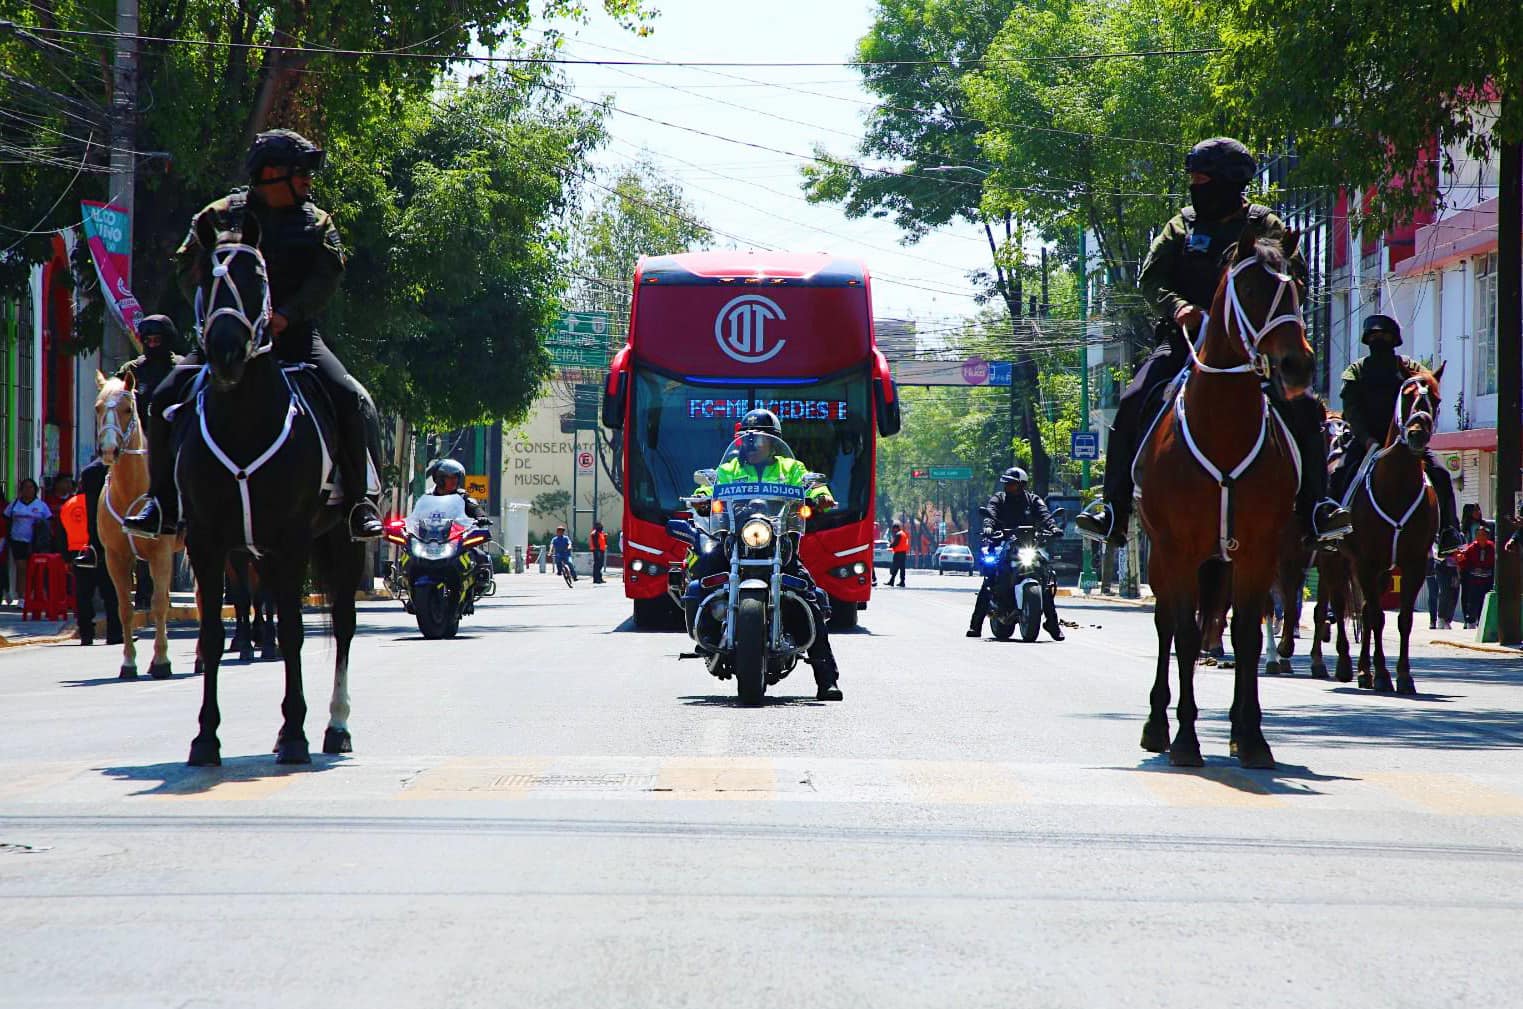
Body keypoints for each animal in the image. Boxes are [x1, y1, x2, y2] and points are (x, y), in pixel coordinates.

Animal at [92, 371, 185, 678]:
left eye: (126, 409)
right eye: (98, 408)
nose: (109, 450)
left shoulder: (161, 554)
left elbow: (158, 605)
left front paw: (162, 661)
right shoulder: (116, 557)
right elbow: (125, 608)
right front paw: (128, 662)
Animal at [175, 211, 365, 767]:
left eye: (257, 278)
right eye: (205, 277)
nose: (225, 353)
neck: (244, 419)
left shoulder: (292, 538)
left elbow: (297, 630)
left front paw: (296, 733)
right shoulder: (207, 540)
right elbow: (212, 633)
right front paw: (205, 737)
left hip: (341, 538)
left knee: (343, 622)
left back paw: (335, 726)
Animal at [1139, 225, 1315, 770]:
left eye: (1296, 288)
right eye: (1253, 288)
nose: (1296, 366)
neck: (1222, 426)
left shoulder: (1259, 550)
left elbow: (1247, 634)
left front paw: (1252, 736)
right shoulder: (1177, 550)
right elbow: (1183, 632)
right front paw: (1185, 738)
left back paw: (1236, 728)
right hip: (1165, 556)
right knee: (1166, 626)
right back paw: (1157, 726)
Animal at [1340, 365, 1443, 693]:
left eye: (1436, 399)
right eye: (1407, 395)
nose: (1417, 434)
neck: (1396, 484)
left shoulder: (1414, 564)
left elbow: (1404, 619)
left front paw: (1404, 675)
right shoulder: (1366, 561)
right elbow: (1376, 618)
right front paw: (1384, 675)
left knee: (1363, 610)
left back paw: (1364, 670)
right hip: (1339, 561)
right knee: (1342, 606)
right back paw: (1349, 667)